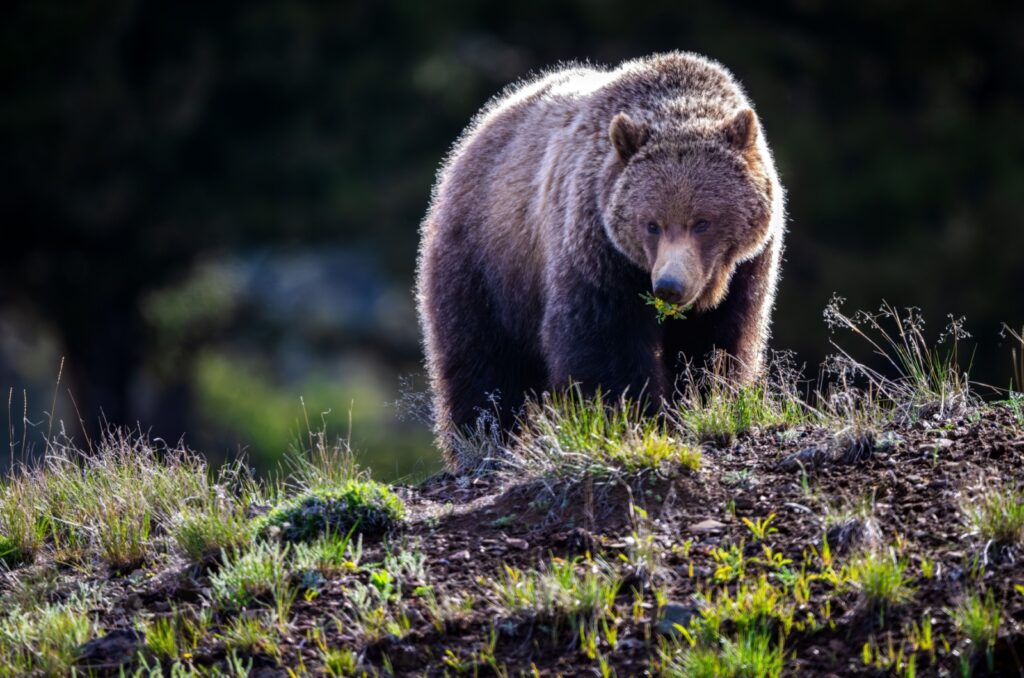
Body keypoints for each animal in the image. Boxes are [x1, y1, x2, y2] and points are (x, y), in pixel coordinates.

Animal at [416, 52, 786, 467]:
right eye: (652, 224)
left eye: (702, 222)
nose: (669, 286)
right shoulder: (596, 247)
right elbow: (602, 340)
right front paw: (633, 417)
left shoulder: (747, 268)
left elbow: (717, 343)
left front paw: (703, 400)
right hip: (486, 259)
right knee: (481, 359)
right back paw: (482, 439)